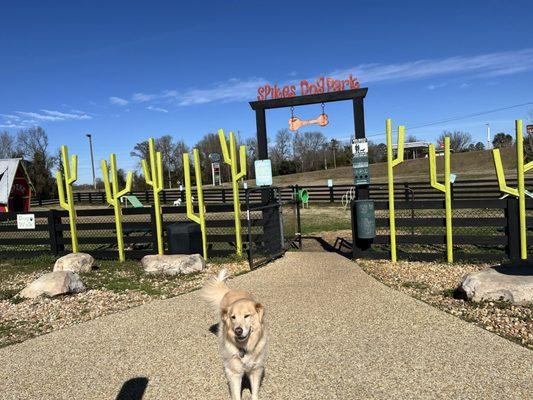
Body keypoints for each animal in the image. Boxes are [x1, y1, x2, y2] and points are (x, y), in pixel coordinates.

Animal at [200, 270, 266, 398]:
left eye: (247, 316)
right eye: (233, 317)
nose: (238, 331)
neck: (244, 347)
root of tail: (231, 291)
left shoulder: (255, 369)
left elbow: (254, 393)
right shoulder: (234, 373)